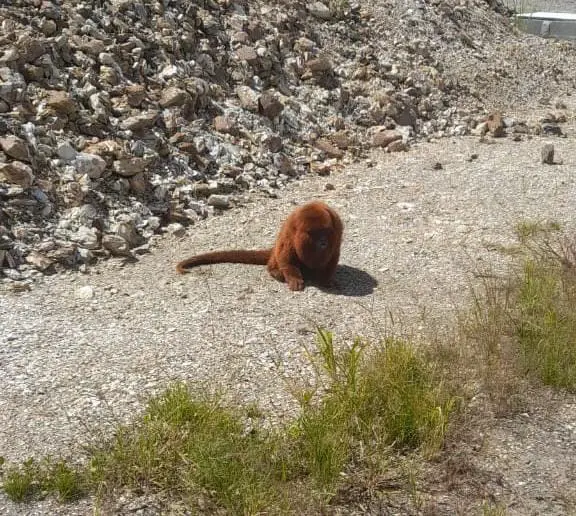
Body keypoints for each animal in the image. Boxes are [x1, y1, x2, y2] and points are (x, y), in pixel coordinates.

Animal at [176, 201, 342, 290]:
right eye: (314, 233)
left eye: (325, 231)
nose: (323, 241)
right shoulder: (291, 230)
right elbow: (286, 256)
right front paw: (294, 279)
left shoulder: (337, 227)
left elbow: (333, 257)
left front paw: (326, 280)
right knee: (279, 256)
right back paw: (275, 272)